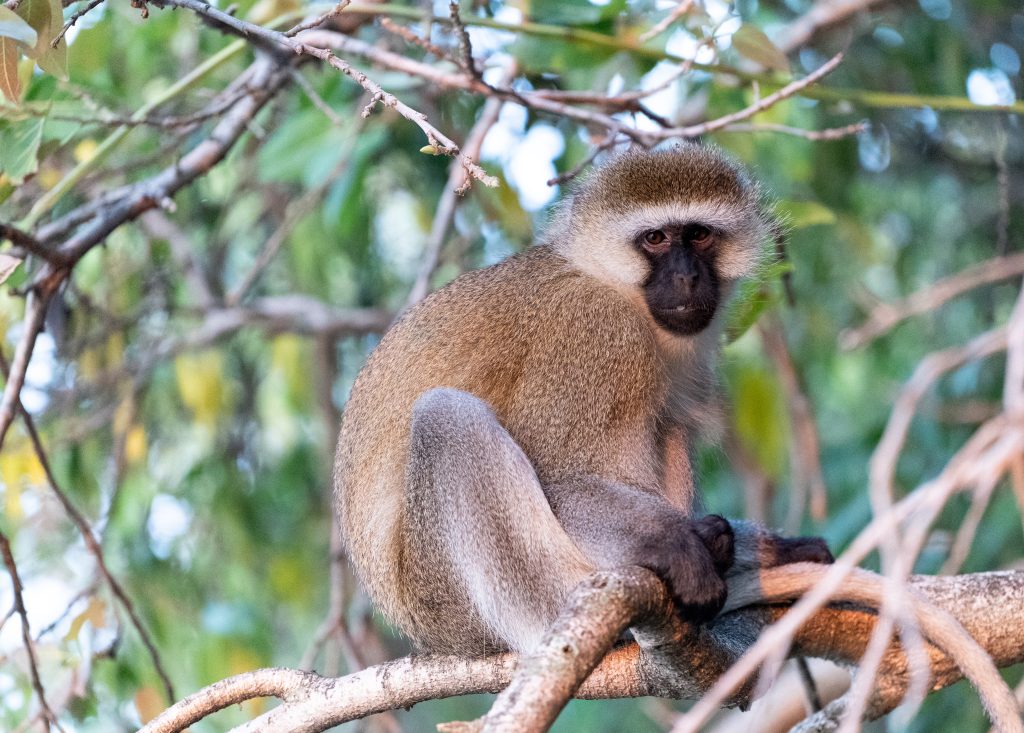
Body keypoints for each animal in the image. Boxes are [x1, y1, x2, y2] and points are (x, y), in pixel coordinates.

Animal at [333, 145, 834, 657]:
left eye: (698, 235)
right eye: (655, 238)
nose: (686, 277)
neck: (615, 287)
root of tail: (429, 636)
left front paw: (774, 550)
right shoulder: (597, 334)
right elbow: (560, 478)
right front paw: (673, 544)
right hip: (445, 598)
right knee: (446, 419)